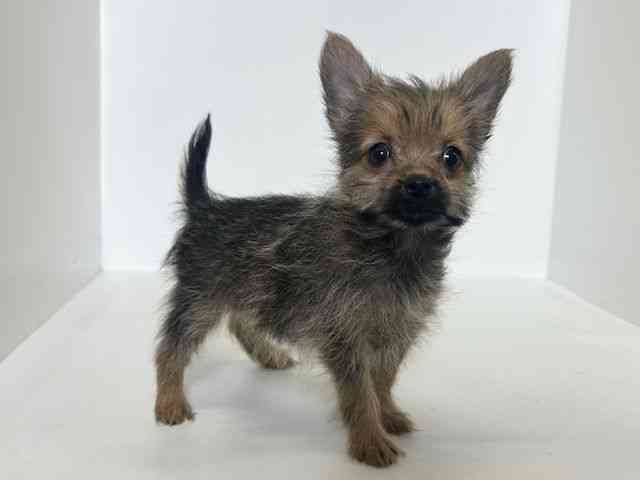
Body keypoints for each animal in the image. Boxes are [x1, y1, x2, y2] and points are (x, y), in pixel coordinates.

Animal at [155, 32, 512, 467]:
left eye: (451, 157)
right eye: (379, 153)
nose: (419, 184)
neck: (392, 247)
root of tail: (205, 206)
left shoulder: (397, 333)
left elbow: (382, 381)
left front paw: (387, 415)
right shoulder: (345, 337)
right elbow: (359, 391)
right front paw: (369, 440)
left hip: (245, 290)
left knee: (241, 320)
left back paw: (268, 355)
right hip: (199, 300)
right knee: (171, 347)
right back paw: (169, 403)